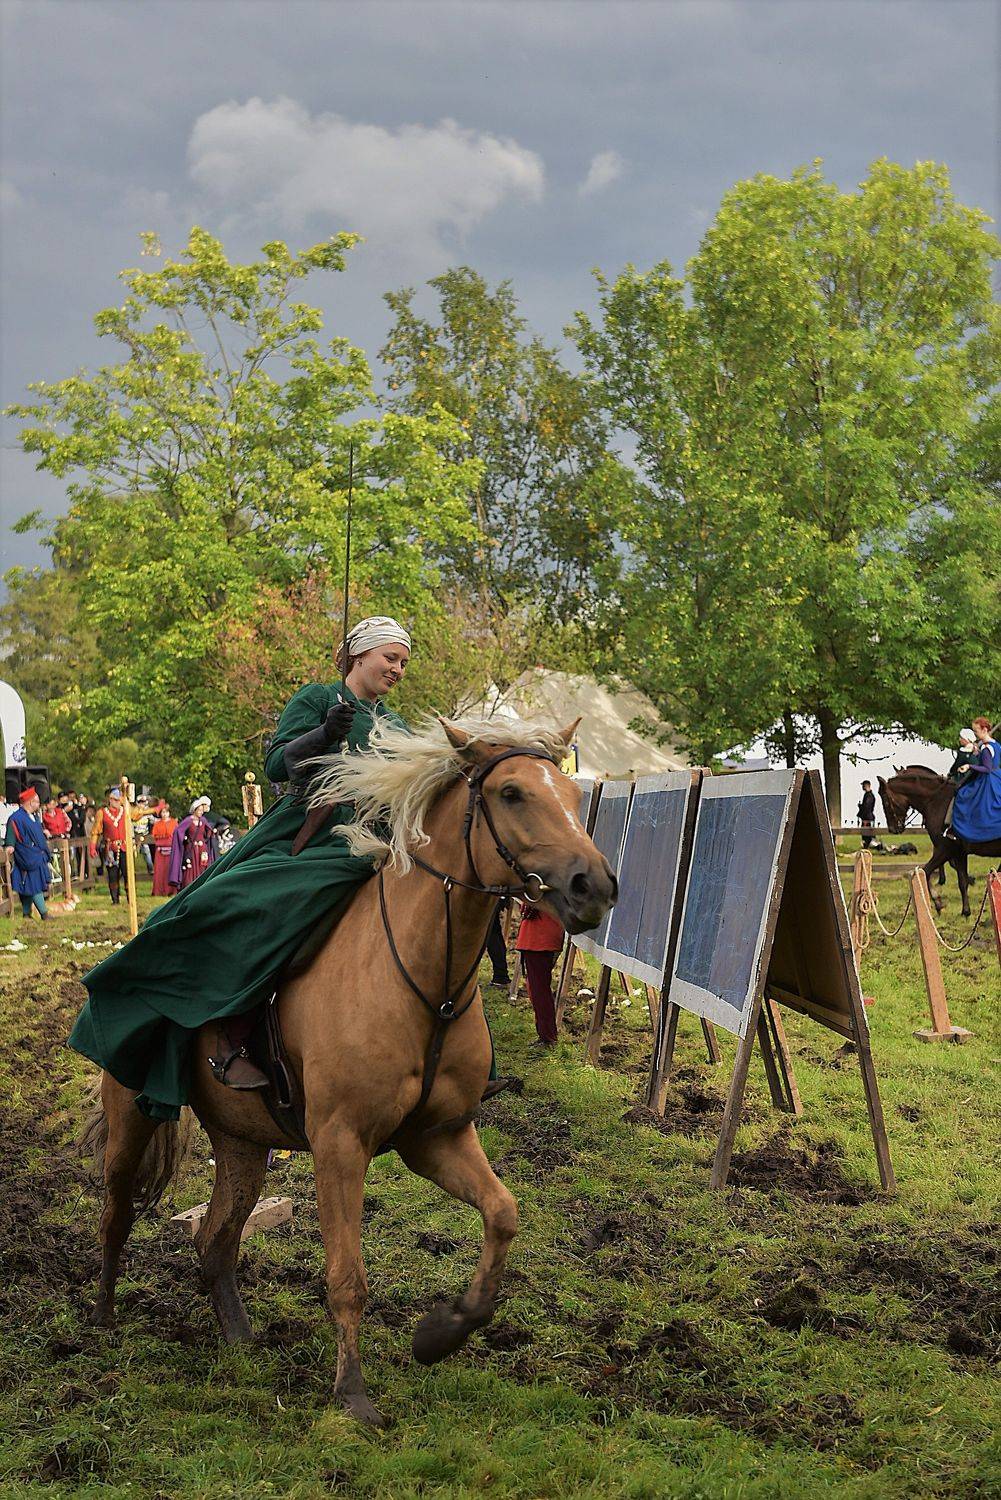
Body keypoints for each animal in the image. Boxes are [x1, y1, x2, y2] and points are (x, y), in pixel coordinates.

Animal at [78, 715, 617, 1429]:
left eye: (577, 797)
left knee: (216, 1239)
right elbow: (347, 1276)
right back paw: (104, 1316)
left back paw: (239, 1338)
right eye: (511, 793)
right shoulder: (340, 1144)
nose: (594, 886)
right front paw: (353, 1393)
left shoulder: (438, 1138)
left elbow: (503, 1214)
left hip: (242, 1143)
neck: (426, 982)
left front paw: (443, 1331)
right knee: (115, 1212)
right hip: (131, 1116)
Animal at [877, 766, 1001, 917]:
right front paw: (965, 910)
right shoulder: (958, 853)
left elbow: (926, 872)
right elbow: (962, 881)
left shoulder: (945, 849)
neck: (936, 799)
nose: (893, 829)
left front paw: (938, 903)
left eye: (886, 801)